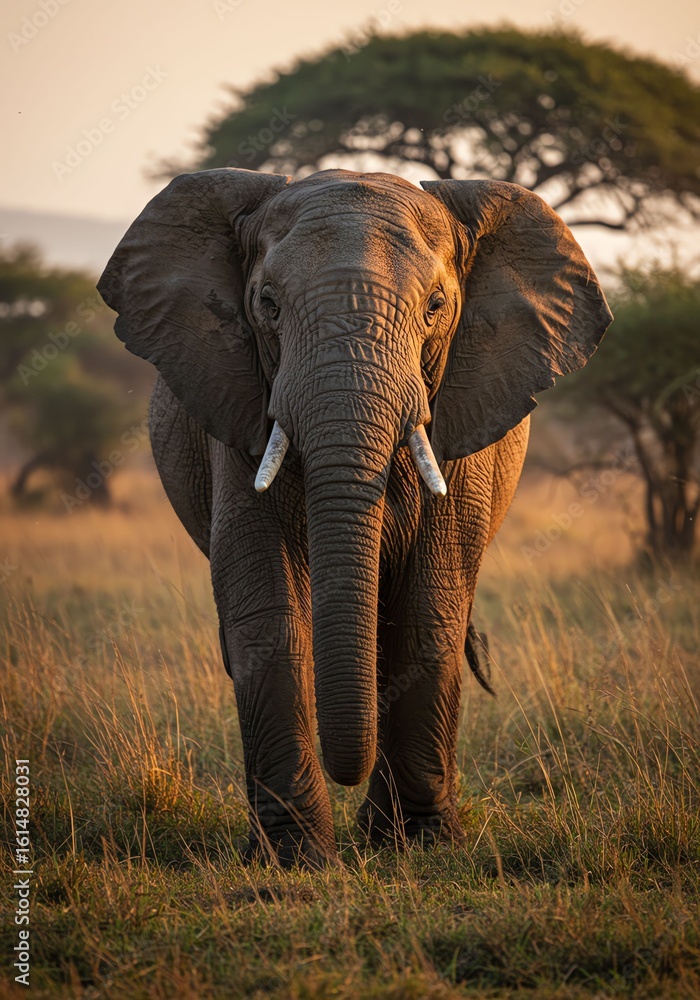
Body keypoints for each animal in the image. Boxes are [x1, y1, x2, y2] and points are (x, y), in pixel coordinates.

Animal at [98, 167, 611, 867]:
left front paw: (420, 847)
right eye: (267, 304)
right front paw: (293, 859)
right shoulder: (240, 406)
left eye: (436, 306)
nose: (348, 773)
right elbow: (269, 608)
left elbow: (427, 607)